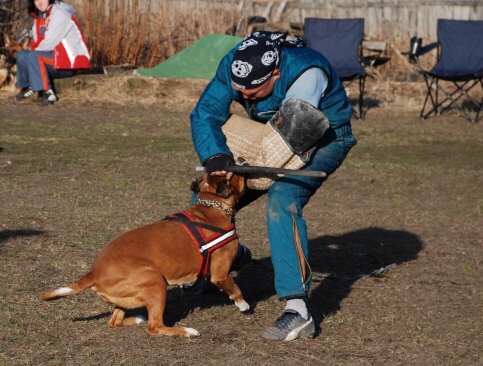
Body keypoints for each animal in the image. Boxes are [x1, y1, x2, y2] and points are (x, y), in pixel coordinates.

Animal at [41, 174, 250, 338]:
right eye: (234, 173)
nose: (241, 161)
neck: (211, 207)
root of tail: (93, 273)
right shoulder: (220, 275)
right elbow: (234, 286)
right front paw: (243, 304)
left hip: (127, 297)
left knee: (114, 322)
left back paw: (137, 319)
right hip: (156, 282)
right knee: (154, 327)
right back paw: (186, 331)